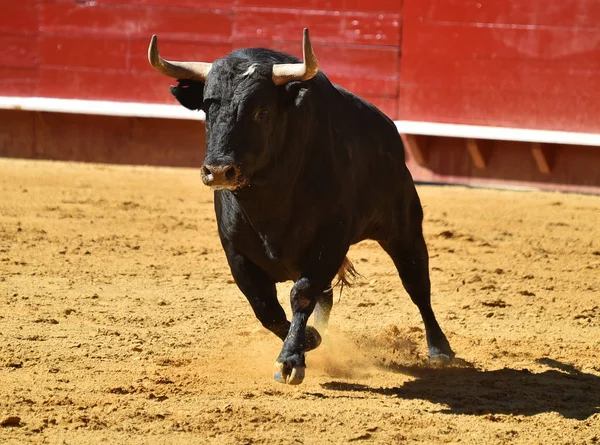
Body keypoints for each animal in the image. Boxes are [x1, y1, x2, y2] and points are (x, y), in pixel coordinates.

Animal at [149, 28, 454, 382]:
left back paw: (440, 350)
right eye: (207, 109)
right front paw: (309, 339)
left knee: (417, 285)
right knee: (326, 297)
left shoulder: (330, 242)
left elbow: (301, 294)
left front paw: (291, 359)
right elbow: (266, 308)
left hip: (404, 229)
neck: (269, 202)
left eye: (262, 111)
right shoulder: (235, 252)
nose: (219, 170)